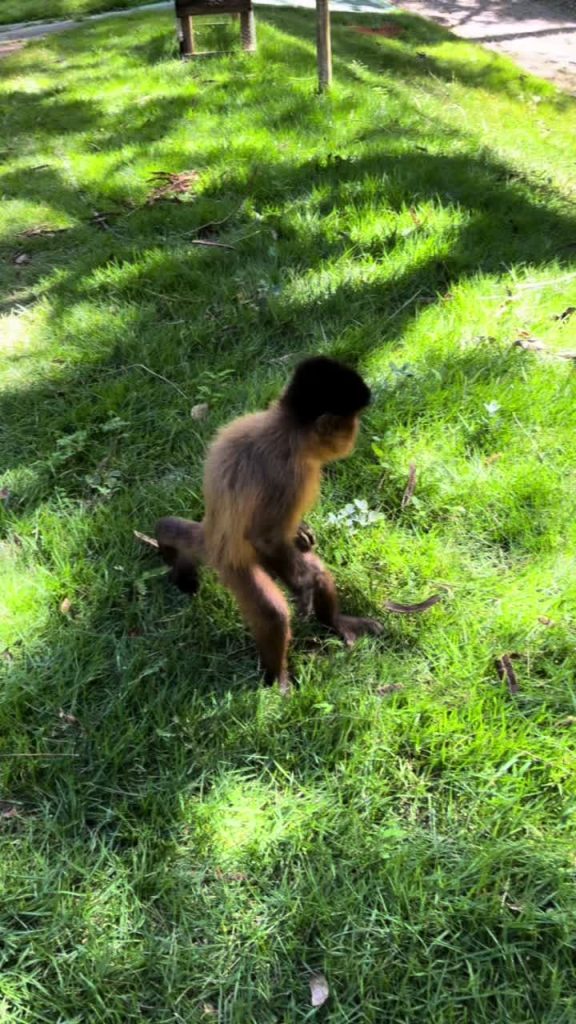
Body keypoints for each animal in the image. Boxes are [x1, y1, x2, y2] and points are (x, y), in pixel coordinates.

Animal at [155, 356, 381, 690]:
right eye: (350, 422)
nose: (356, 431)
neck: (286, 428)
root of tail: (211, 535)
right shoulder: (286, 474)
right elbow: (264, 536)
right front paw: (302, 592)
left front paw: (302, 533)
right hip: (236, 565)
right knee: (273, 612)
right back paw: (279, 679)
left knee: (318, 573)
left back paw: (335, 623)